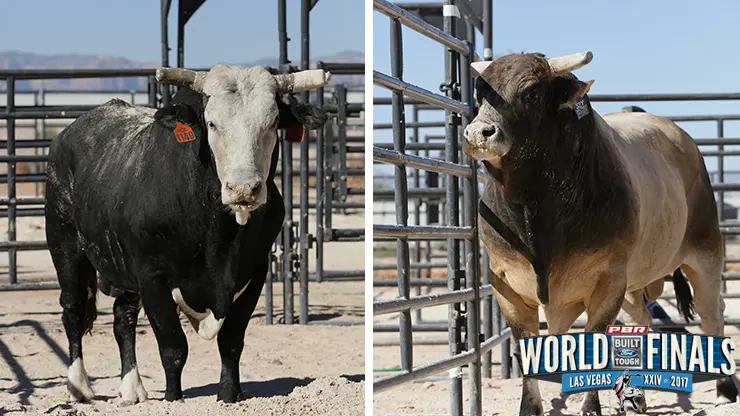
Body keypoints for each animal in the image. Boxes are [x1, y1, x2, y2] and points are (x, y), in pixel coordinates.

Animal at [44, 64, 330, 404]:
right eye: (212, 123)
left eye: (273, 123)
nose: (244, 188)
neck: (220, 239)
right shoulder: (152, 276)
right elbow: (173, 347)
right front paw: (173, 399)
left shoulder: (255, 273)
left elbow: (231, 341)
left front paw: (229, 396)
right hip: (65, 245)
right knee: (73, 310)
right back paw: (79, 387)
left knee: (123, 317)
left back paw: (132, 388)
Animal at [463, 51, 738, 415]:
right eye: (480, 92)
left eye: (532, 92)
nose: (479, 133)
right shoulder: (504, 283)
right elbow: (526, 347)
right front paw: (530, 407)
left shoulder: (608, 281)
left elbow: (595, 340)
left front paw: (590, 406)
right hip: (636, 282)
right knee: (643, 320)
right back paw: (639, 396)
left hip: (706, 252)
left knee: (712, 315)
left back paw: (725, 388)